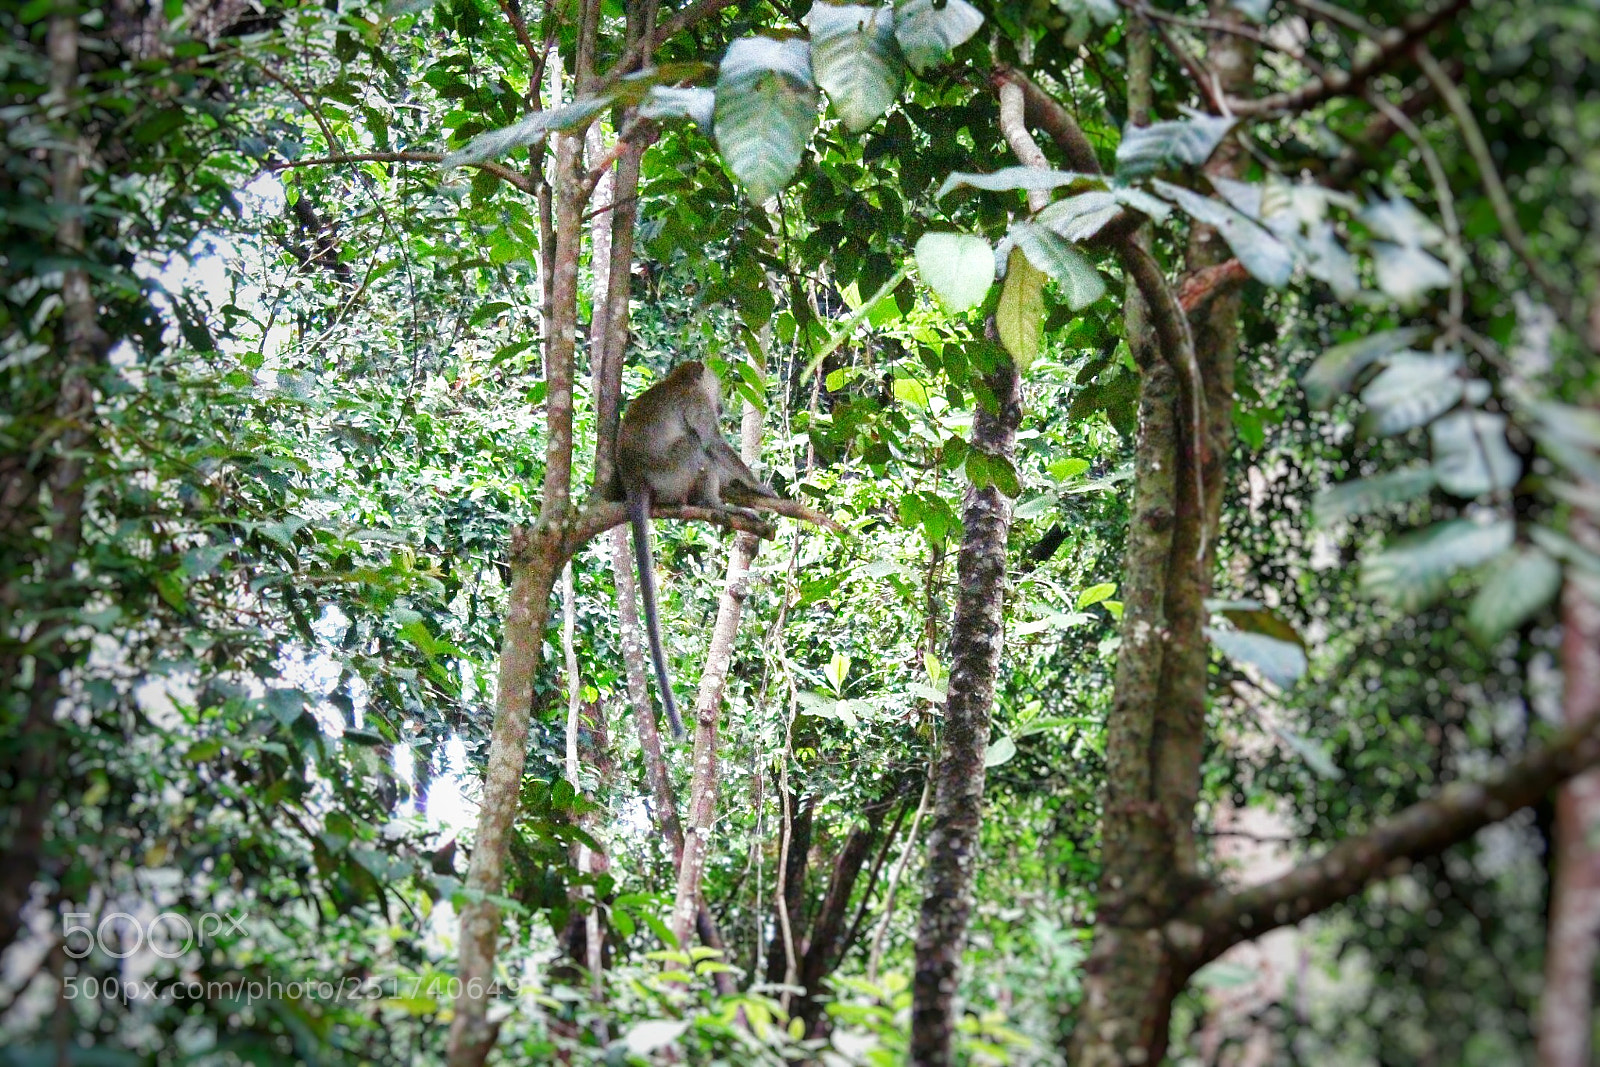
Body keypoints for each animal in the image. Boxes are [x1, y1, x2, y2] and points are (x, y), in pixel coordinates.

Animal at [611, 361, 777, 737]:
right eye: (718, 387)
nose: (723, 404)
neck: (679, 380)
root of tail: (633, 478)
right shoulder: (696, 401)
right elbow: (712, 441)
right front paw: (757, 485)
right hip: (669, 474)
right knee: (694, 446)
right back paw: (713, 502)